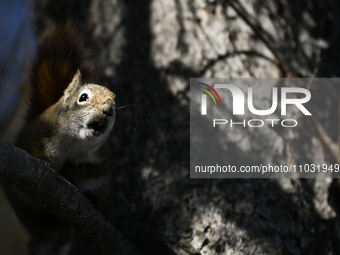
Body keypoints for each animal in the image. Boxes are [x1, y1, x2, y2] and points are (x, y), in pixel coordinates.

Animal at [0, 24, 117, 253]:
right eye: (83, 98)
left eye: (114, 104)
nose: (108, 111)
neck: (74, 141)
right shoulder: (37, 136)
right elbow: (34, 152)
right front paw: (46, 163)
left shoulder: (102, 155)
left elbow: (96, 169)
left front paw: (73, 172)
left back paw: (94, 198)